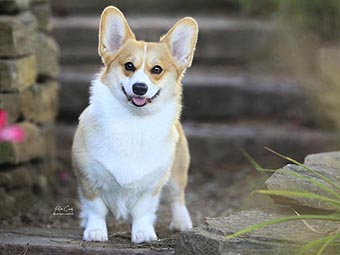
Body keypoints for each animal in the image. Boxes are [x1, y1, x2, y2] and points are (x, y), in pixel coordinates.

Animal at [72, 6, 199, 243]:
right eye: (129, 66)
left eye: (157, 70)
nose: (140, 88)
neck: (134, 122)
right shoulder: (88, 178)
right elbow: (96, 208)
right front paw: (95, 231)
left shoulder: (152, 186)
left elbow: (143, 210)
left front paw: (143, 233)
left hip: (178, 171)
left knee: (177, 197)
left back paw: (181, 223)